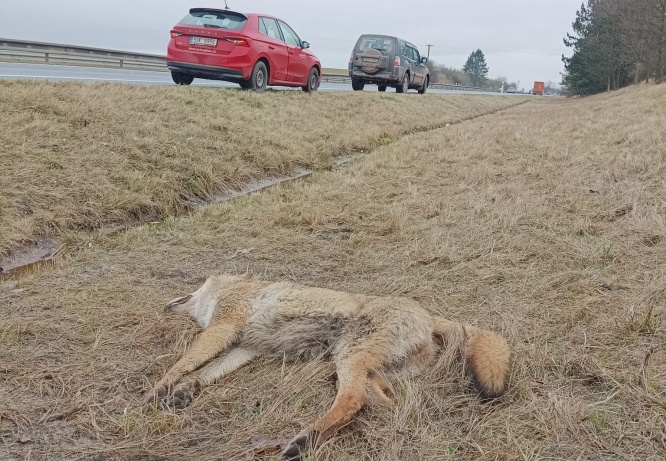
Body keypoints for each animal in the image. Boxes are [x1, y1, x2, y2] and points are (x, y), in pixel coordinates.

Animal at [144, 274, 508, 456]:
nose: (163, 305)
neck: (236, 287)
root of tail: (428, 316)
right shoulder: (245, 348)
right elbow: (206, 371)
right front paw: (184, 391)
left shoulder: (223, 327)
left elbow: (185, 362)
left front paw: (158, 389)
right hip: (365, 368)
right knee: (379, 399)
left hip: (349, 356)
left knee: (352, 400)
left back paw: (306, 440)